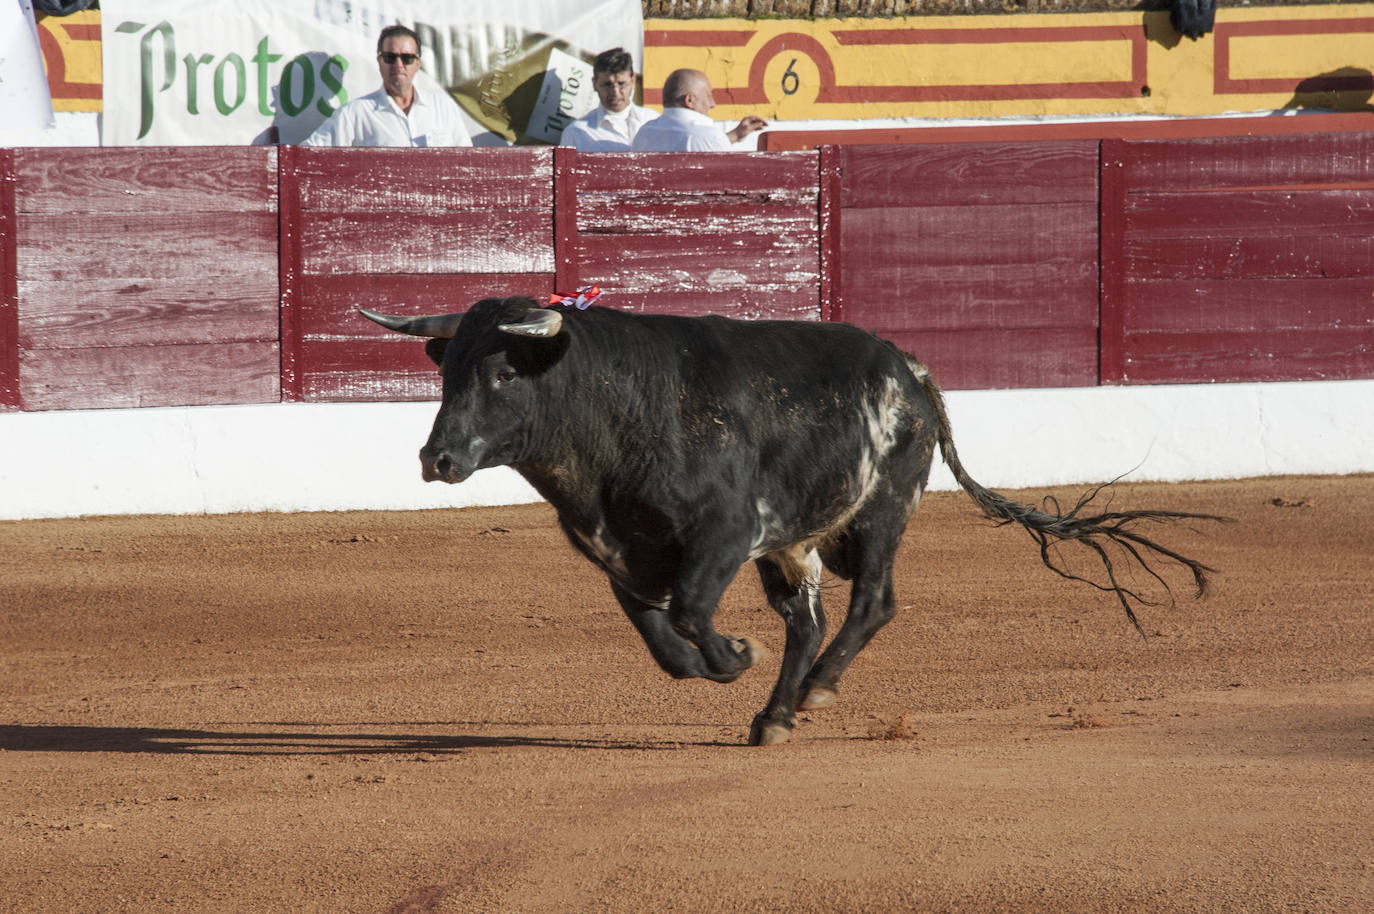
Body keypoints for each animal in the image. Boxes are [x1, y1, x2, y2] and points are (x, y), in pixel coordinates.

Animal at [362, 295, 1225, 747]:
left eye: (504, 372)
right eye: (446, 372)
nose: (436, 458)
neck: (612, 410)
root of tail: (908, 366)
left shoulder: (725, 533)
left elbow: (690, 611)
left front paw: (733, 654)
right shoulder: (620, 555)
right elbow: (662, 641)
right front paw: (717, 666)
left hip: (881, 510)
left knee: (872, 604)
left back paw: (813, 695)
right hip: (800, 544)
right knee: (807, 623)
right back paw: (776, 713)